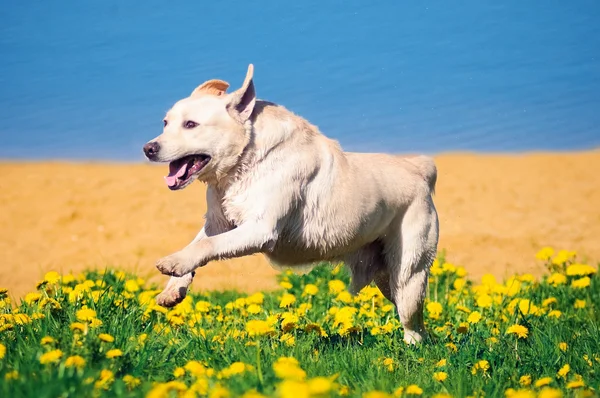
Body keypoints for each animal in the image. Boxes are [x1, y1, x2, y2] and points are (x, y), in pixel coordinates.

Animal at [142, 63, 438, 344]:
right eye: (165, 123)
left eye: (191, 125)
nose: (148, 148)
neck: (246, 161)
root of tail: (419, 172)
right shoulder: (219, 222)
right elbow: (199, 243)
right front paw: (173, 288)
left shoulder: (260, 230)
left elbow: (207, 245)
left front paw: (174, 262)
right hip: (385, 277)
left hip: (408, 274)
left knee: (413, 325)